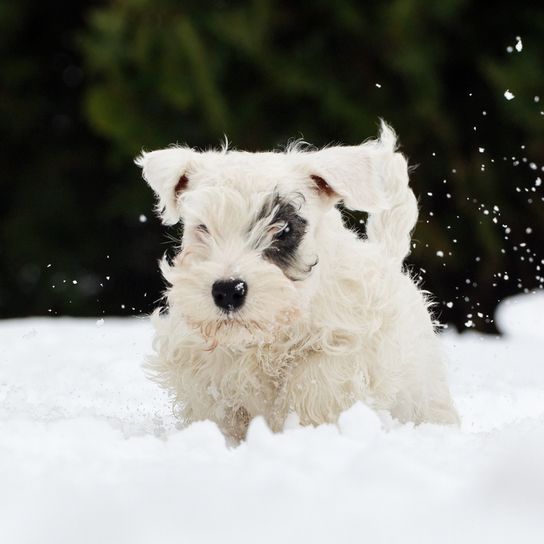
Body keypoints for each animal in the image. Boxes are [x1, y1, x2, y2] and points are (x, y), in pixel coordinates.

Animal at [136, 121, 460, 440]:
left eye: (284, 230)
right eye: (202, 227)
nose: (228, 291)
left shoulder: (345, 342)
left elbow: (314, 381)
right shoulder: (201, 364)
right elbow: (217, 405)